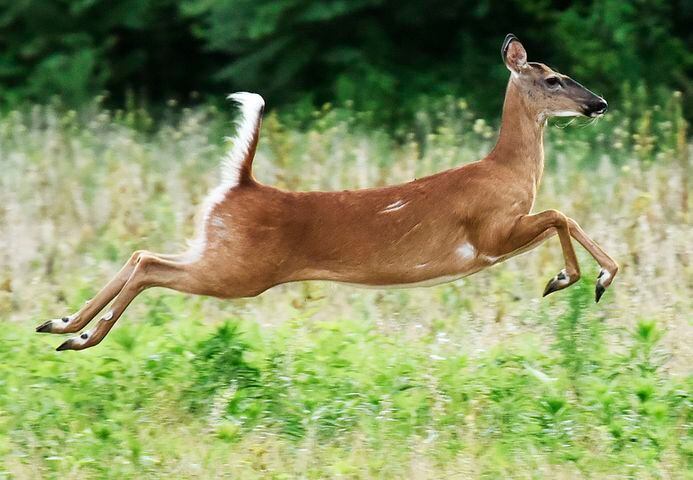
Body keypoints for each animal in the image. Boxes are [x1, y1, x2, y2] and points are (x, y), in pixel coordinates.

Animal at [36, 32, 616, 348]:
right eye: (553, 79)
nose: (600, 103)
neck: (507, 171)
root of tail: (241, 185)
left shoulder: (497, 238)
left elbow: (562, 215)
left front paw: (580, 277)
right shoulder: (489, 234)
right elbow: (560, 214)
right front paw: (579, 278)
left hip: (218, 251)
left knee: (141, 254)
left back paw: (61, 324)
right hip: (238, 270)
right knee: (150, 264)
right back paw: (79, 336)